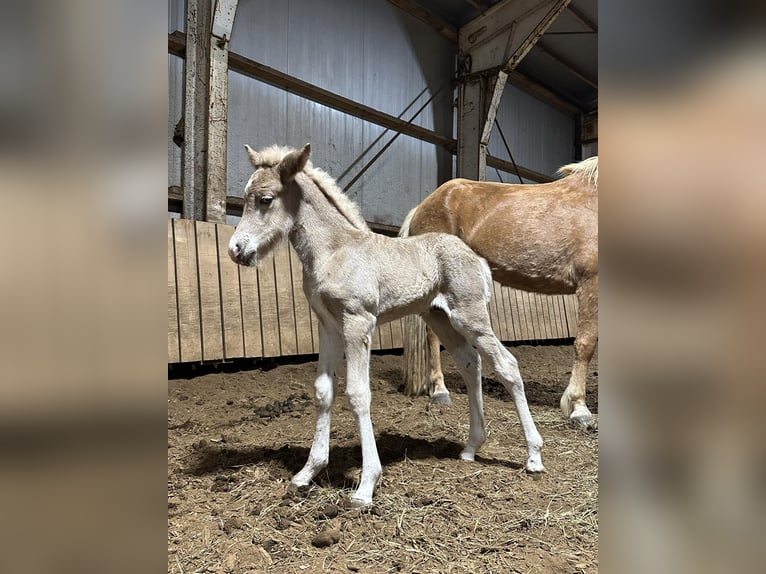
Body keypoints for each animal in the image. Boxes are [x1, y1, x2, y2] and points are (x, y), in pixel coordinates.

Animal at [228, 145, 544, 508]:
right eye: (245, 196)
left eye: (266, 199)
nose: (235, 250)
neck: (334, 250)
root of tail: (478, 259)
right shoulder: (328, 326)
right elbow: (324, 390)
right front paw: (307, 473)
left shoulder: (358, 322)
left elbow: (358, 393)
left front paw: (366, 486)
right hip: (440, 318)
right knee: (470, 363)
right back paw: (470, 447)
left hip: (470, 315)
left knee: (506, 365)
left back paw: (534, 457)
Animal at [402, 158, 600, 428]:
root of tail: (422, 206)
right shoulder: (591, 283)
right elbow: (586, 344)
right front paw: (579, 409)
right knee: (433, 335)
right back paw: (440, 391)